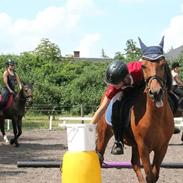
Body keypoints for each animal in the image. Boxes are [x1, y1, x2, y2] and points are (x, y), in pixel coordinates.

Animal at [96, 38, 174, 182]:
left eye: (163, 64)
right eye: (143, 66)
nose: (156, 93)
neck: (157, 117)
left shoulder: (162, 148)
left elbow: (154, 175)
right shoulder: (143, 147)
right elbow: (150, 175)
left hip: (135, 146)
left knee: (134, 163)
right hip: (104, 136)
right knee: (99, 156)